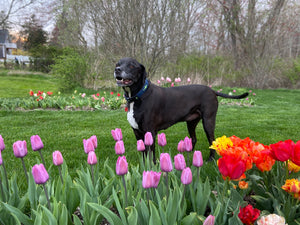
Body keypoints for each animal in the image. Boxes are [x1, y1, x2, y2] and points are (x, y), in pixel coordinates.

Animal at [113, 57, 247, 163]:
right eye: (117, 63)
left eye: (132, 65)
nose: (117, 69)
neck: (138, 96)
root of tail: (212, 90)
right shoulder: (137, 132)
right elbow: (143, 154)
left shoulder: (149, 132)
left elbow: (150, 154)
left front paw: (152, 167)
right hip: (191, 122)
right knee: (194, 138)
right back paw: (189, 155)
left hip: (208, 121)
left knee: (212, 141)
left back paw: (210, 159)